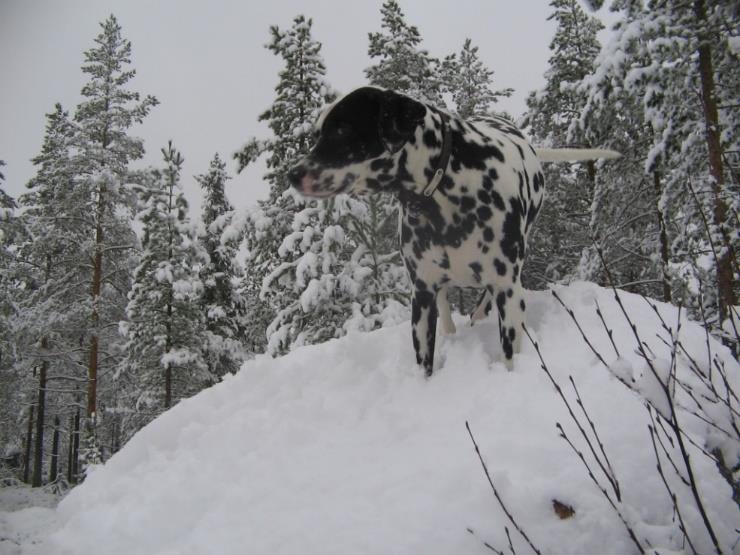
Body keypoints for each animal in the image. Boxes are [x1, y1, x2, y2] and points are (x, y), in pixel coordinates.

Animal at [288, 87, 620, 378]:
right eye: (318, 132)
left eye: (342, 129)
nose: (292, 174)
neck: (447, 189)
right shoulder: (422, 295)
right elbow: (425, 359)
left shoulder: (508, 292)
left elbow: (509, 354)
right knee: (445, 304)